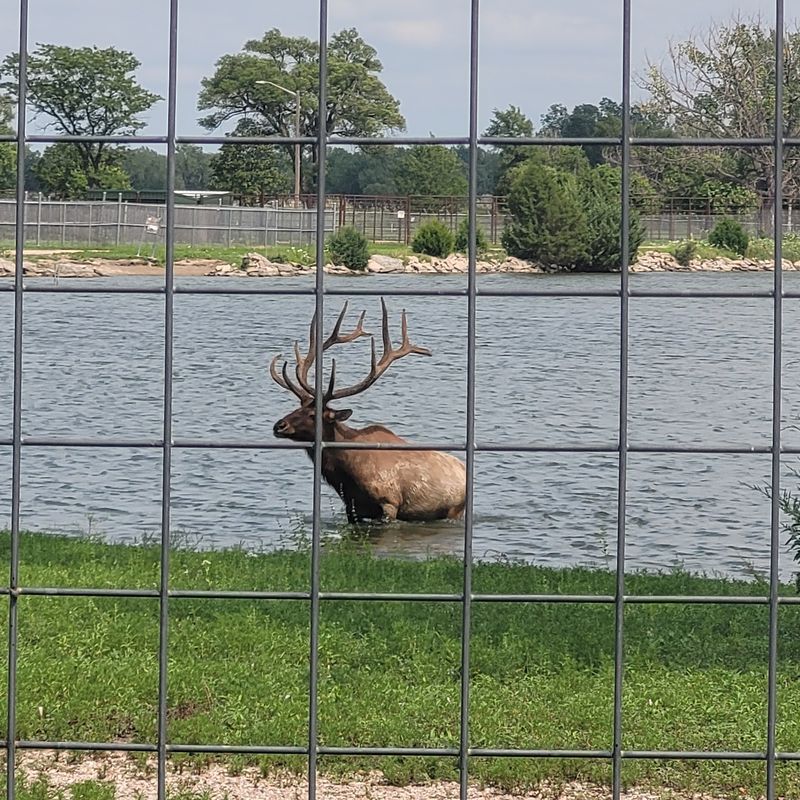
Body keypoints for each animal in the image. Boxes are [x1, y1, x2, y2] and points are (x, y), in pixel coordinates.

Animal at [270, 299, 466, 523]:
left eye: (313, 414)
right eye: (298, 407)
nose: (279, 425)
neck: (348, 473)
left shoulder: (390, 502)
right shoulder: (352, 507)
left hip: (455, 510)